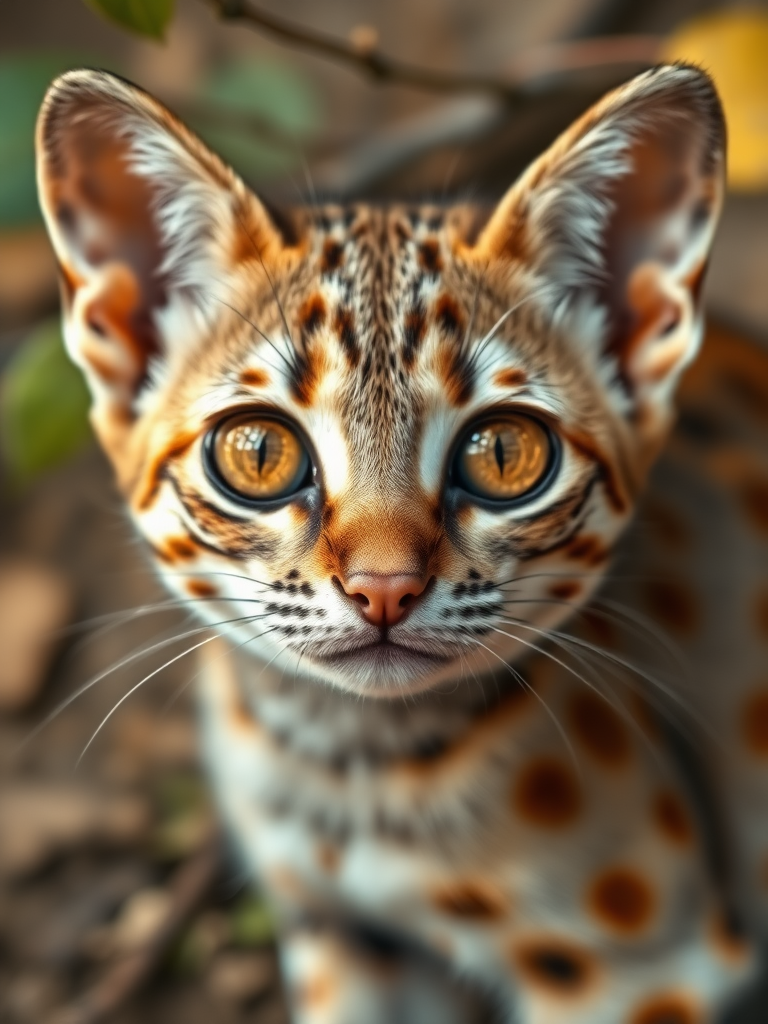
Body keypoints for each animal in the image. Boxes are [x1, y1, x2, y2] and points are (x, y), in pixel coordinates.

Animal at [36, 66, 768, 1024]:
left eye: (504, 454)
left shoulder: (645, 971)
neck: (349, 774)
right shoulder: (338, 933)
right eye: (259, 453)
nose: (384, 587)